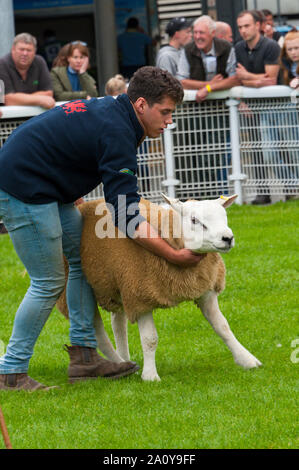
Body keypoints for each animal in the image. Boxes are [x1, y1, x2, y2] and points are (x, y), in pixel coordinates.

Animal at [56, 195, 262, 382]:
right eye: (194, 220)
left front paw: (247, 360)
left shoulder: (204, 289)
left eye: (224, 215)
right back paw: (117, 364)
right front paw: (150, 376)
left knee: (118, 324)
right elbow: (150, 339)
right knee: (97, 330)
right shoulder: (141, 295)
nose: (227, 238)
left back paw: (124, 360)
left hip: (116, 283)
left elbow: (223, 327)